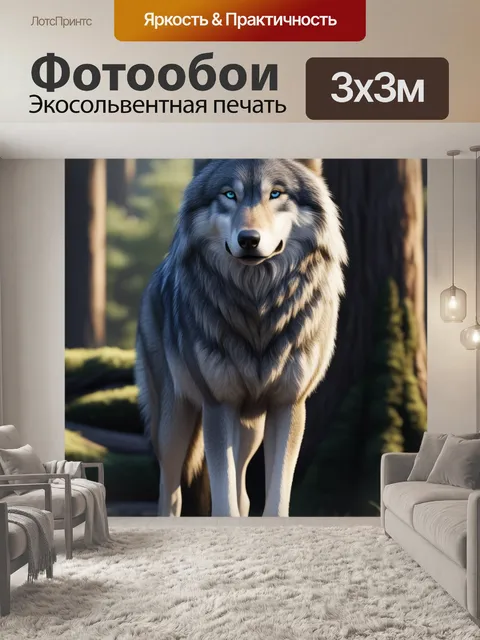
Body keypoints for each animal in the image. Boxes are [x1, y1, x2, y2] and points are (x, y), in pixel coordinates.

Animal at [135, 159, 347, 517]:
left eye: (275, 193)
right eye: (229, 194)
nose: (248, 239)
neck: (258, 307)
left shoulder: (288, 405)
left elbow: (275, 497)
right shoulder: (218, 404)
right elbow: (223, 501)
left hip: (251, 429)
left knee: (244, 493)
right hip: (174, 422)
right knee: (170, 491)